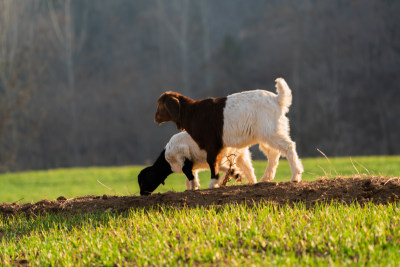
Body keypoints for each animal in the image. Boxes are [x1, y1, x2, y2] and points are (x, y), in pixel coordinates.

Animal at [154, 78, 304, 189]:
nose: (155, 118)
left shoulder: (211, 143)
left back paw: (295, 176)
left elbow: (212, 161)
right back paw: (265, 178)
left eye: (160, 104)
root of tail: (277, 100)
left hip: (271, 132)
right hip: (266, 134)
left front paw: (213, 184)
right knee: (273, 153)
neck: (192, 112)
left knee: (288, 146)